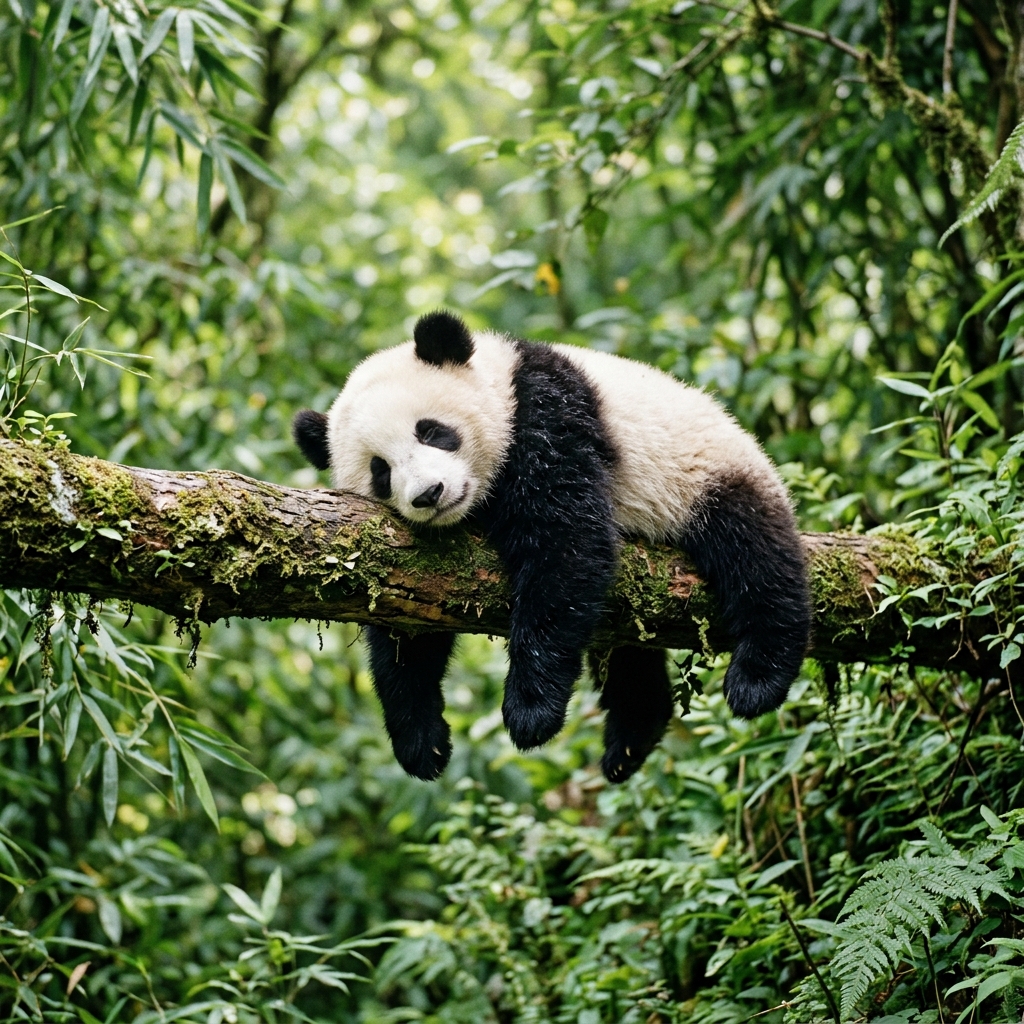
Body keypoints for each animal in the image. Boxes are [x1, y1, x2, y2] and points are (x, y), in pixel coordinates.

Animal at [293, 310, 811, 783]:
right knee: (628, 652)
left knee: (756, 555)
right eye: (380, 471)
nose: (429, 494)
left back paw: (757, 679)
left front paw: (530, 712)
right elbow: (407, 630)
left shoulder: (547, 415)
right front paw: (422, 742)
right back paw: (632, 735)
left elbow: (567, 545)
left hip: (709, 474)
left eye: (432, 431)